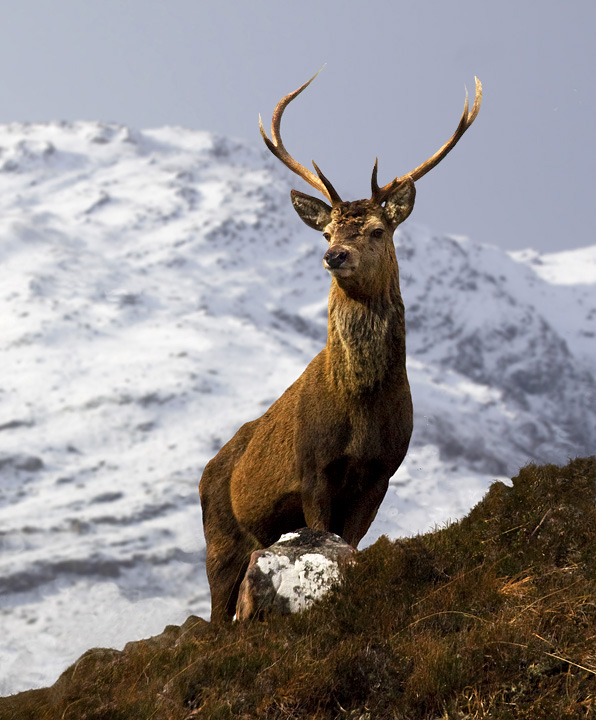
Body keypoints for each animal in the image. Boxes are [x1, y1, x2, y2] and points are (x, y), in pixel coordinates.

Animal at [199, 70, 482, 622]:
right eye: (328, 230)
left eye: (376, 229)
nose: (335, 255)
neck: (361, 406)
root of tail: (206, 471)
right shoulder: (313, 469)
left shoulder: (381, 473)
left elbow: (349, 546)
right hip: (219, 538)